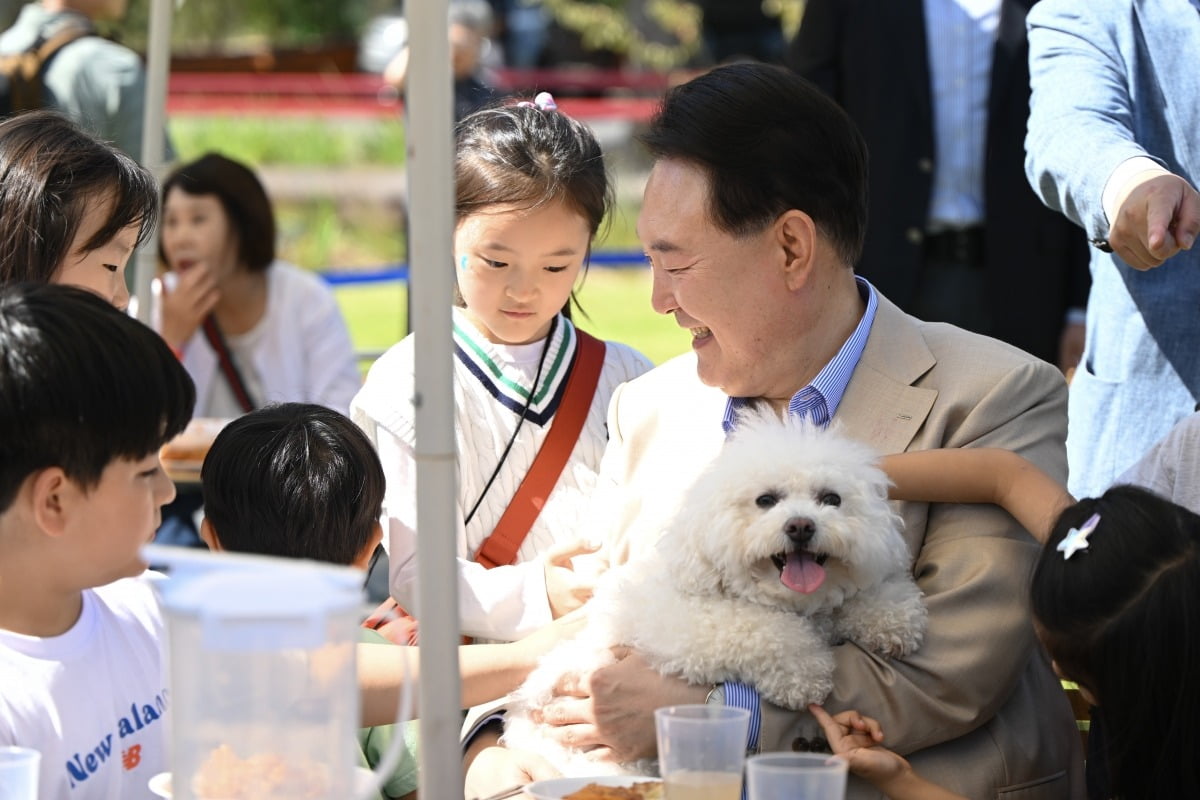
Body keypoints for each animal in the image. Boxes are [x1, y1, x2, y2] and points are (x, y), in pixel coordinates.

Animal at [501, 410, 931, 772]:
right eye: (765, 500)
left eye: (831, 499)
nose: (800, 526)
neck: (790, 604)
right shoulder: (678, 630)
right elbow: (755, 627)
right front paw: (805, 673)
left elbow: (866, 597)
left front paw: (893, 620)